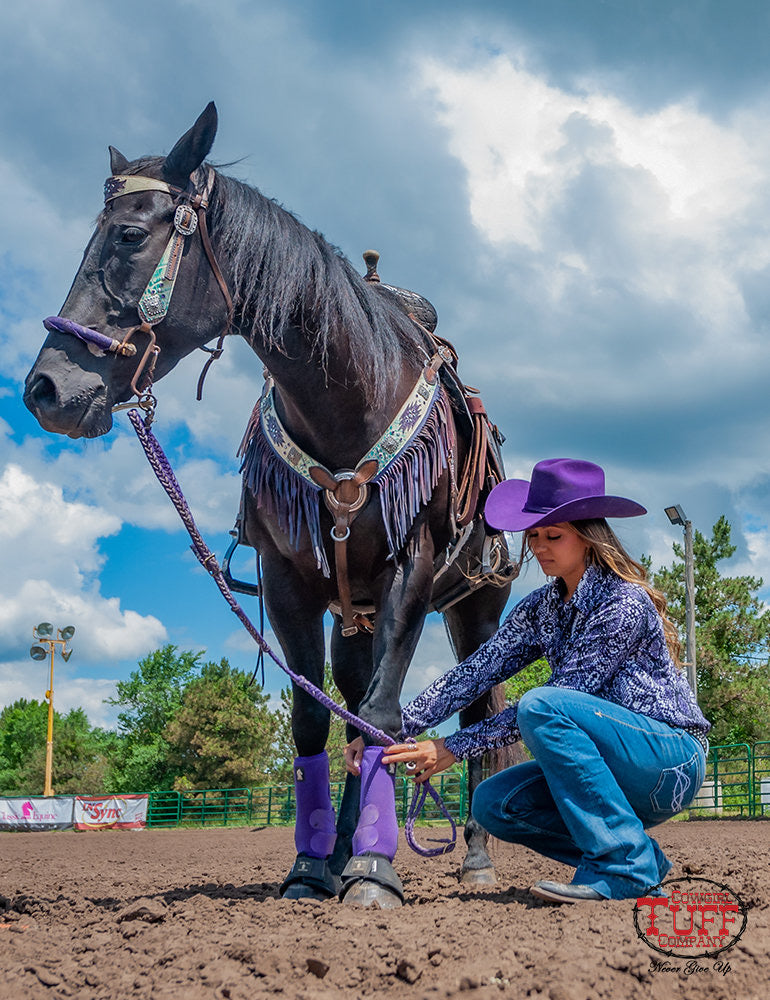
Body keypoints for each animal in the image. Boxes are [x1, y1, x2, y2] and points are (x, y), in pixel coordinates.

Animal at [27, 105, 512, 912]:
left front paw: (374, 873)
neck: (348, 396)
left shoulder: (411, 569)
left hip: (475, 603)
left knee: (475, 713)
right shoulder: (288, 578)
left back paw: (471, 856)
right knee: (350, 711)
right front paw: (314, 867)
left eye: (128, 234)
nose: (45, 389)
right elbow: (317, 719)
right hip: (353, 615)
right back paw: (344, 848)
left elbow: (383, 713)